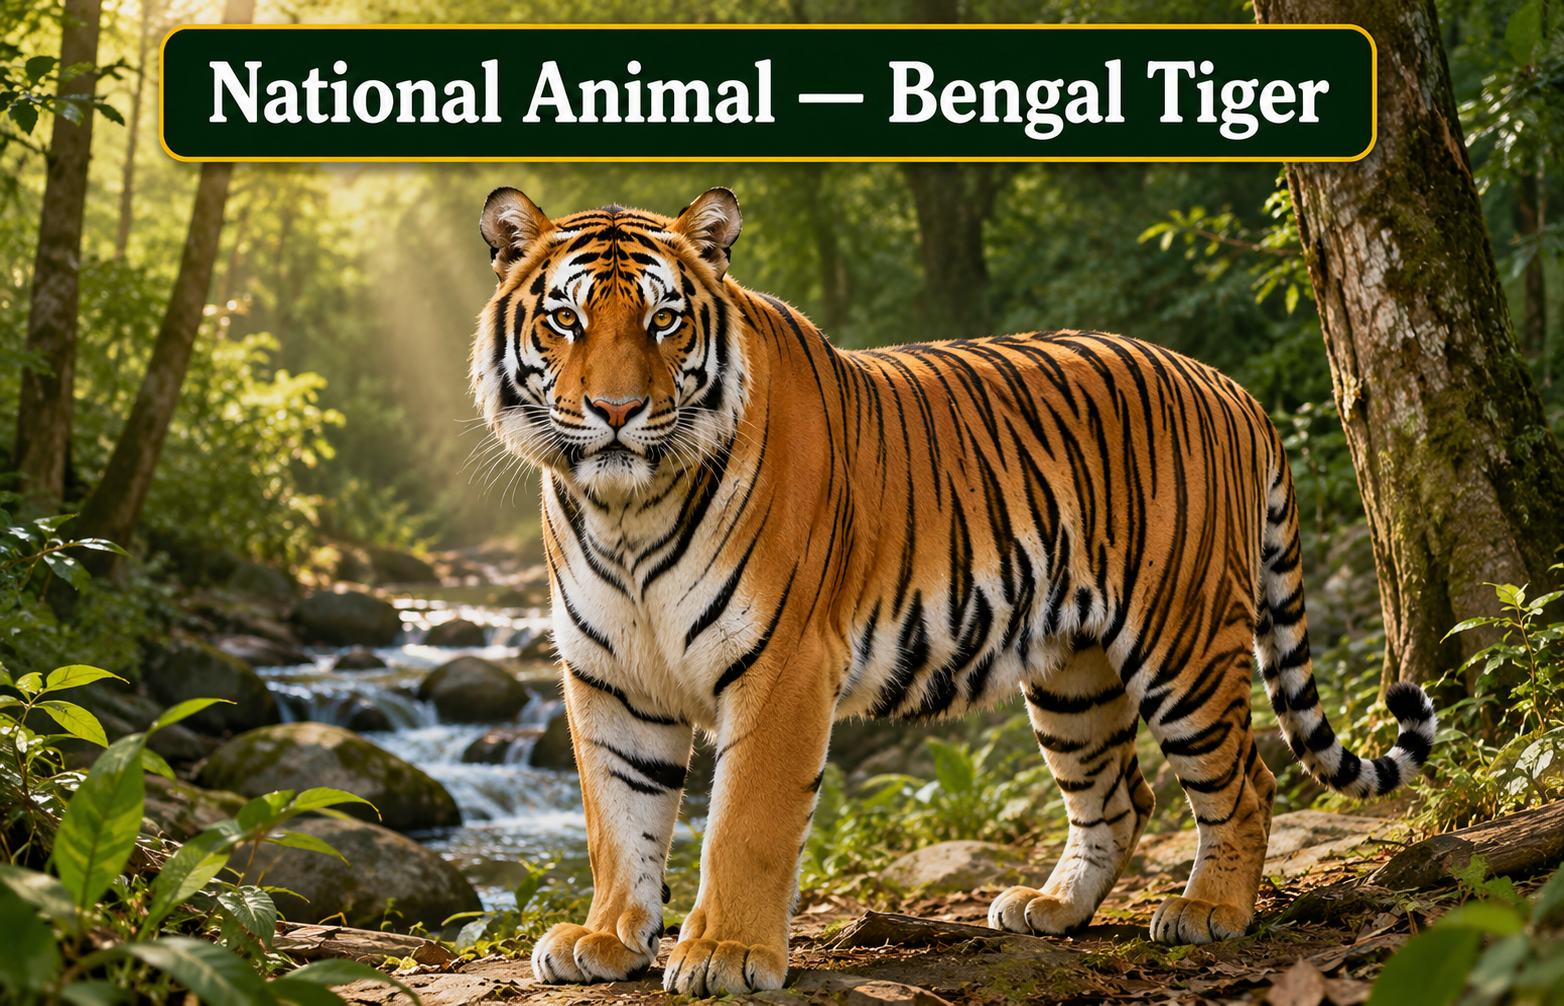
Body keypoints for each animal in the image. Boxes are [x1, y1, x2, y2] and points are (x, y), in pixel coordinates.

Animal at [468, 186, 1437, 996]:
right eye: (565, 320)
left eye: (666, 320)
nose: (617, 413)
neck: (623, 511)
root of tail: (1232, 387)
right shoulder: (609, 676)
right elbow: (616, 819)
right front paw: (607, 939)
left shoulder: (781, 666)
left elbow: (744, 821)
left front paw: (728, 954)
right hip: (1073, 672)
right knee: (1120, 796)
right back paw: (1053, 908)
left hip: (1183, 640)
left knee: (1246, 782)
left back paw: (1211, 911)